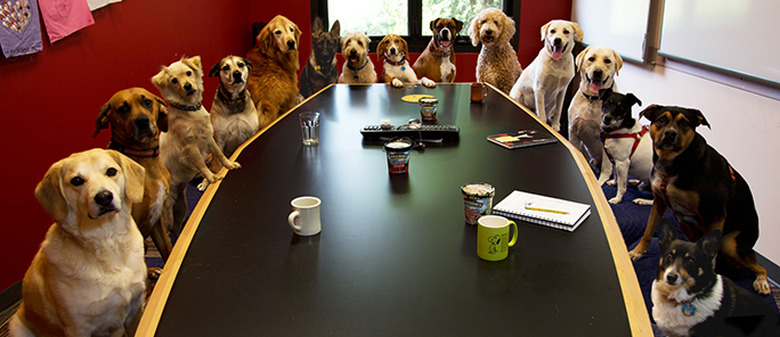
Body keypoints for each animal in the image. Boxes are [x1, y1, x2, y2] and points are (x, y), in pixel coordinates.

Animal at [8, 149, 148, 336]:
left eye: (111, 171)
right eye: (76, 181)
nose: (104, 197)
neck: (108, 241)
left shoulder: (135, 310)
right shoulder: (77, 328)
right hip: (15, 325)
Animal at [151, 55, 239, 235]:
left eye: (189, 73)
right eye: (174, 81)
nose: (187, 86)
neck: (190, 111)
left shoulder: (208, 138)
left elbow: (219, 154)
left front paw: (229, 165)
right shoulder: (189, 147)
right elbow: (201, 164)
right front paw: (212, 178)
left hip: (181, 208)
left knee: (176, 227)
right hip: (168, 215)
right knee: (170, 231)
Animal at [632, 104, 772, 294]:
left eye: (685, 123)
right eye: (661, 119)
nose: (670, 133)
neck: (674, 165)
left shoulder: (715, 214)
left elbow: (710, 258)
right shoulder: (659, 202)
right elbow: (648, 230)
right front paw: (637, 252)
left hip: (730, 244)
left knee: (758, 265)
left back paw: (762, 281)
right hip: (684, 222)